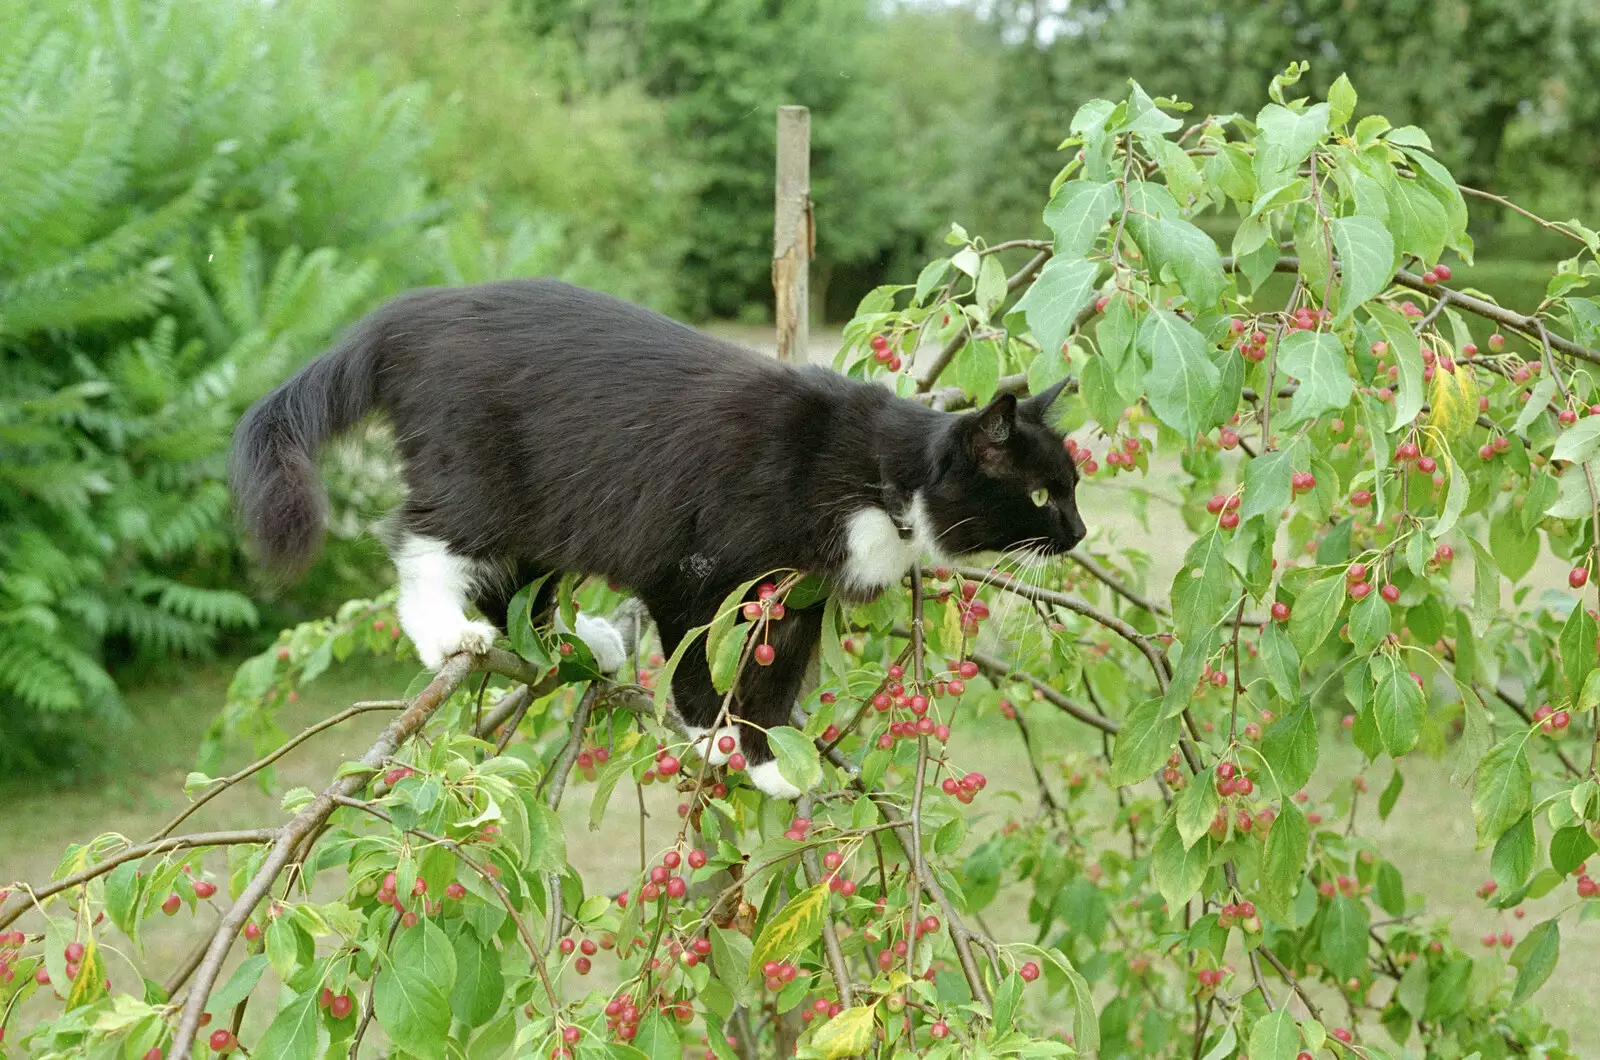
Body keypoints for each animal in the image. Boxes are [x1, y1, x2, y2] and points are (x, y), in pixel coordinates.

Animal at [232, 280, 1088, 797]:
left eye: (1073, 487)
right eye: (1041, 494)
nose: (1078, 532)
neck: (878, 475)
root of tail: (409, 313)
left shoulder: (799, 593)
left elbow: (775, 678)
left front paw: (768, 760)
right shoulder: (685, 565)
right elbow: (697, 663)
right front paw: (713, 739)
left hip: (559, 506)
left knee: (520, 587)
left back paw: (575, 646)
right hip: (479, 470)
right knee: (426, 539)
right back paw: (446, 631)